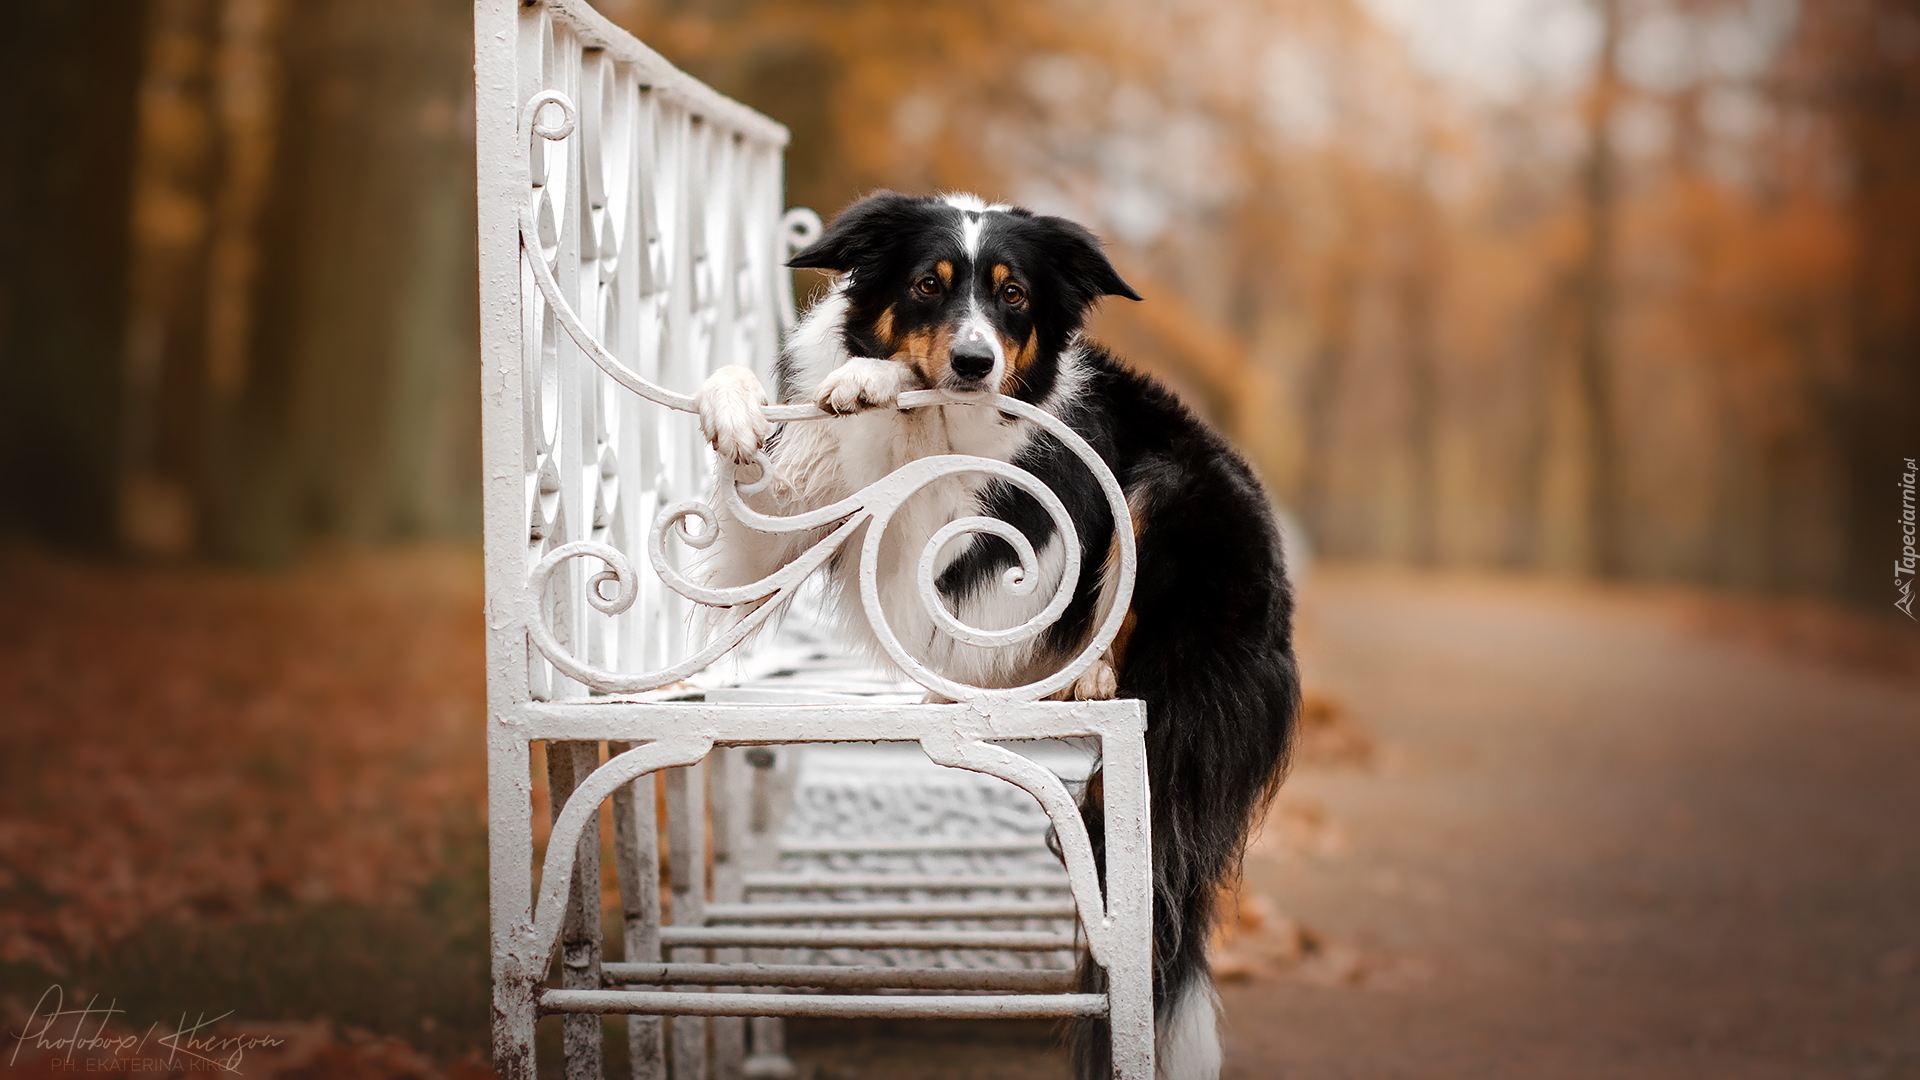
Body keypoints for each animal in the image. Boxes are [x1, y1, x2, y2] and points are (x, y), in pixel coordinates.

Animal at [698, 193, 1297, 1076]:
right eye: (926, 284)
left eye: (1013, 296)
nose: (975, 362)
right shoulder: (780, 530)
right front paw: (733, 403)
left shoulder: (959, 544)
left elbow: (910, 432)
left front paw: (873, 380)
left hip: (1173, 489)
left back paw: (1088, 678)